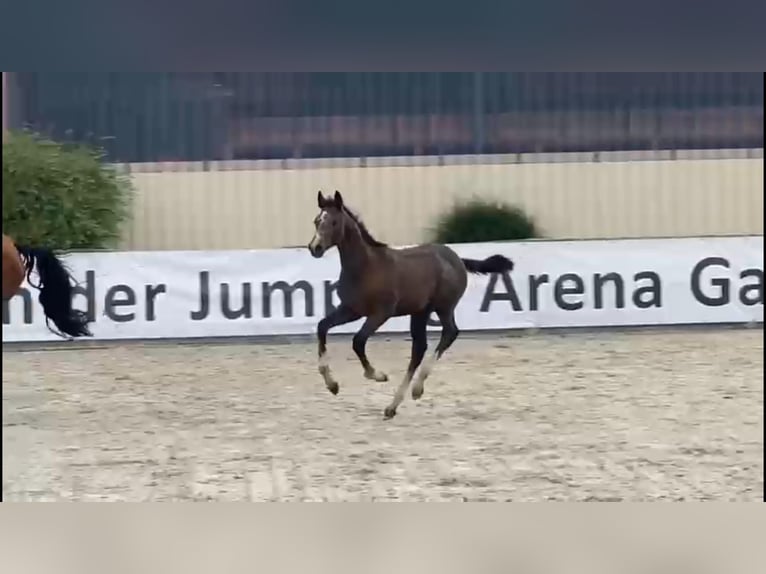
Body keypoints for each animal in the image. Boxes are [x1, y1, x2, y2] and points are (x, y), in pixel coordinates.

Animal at [310, 191, 516, 420]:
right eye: (317, 221)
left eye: (334, 222)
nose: (315, 248)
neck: (366, 267)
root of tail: (457, 258)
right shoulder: (351, 310)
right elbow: (322, 327)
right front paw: (332, 385)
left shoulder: (381, 313)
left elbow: (358, 341)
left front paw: (377, 375)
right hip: (420, 312)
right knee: (419, 348)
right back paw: (394, 405)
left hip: (443, 307)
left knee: (449, 333)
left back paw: (416, 389)